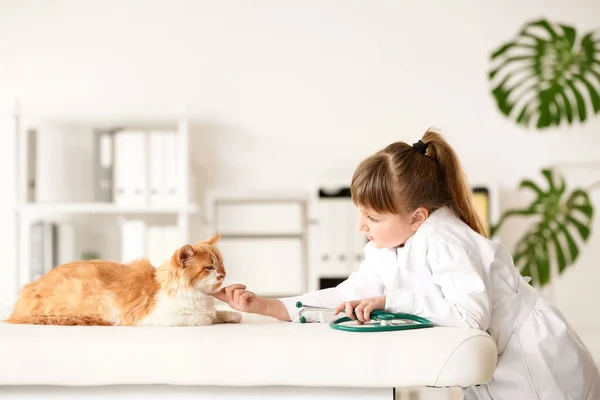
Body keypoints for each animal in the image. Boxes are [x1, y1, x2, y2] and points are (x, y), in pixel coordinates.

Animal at [5, 234, 241, 324]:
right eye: (209, 267)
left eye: (221, 264)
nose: (223, 275)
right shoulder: (151, 317)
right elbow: (203, 317)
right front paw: (211, 317)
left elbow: (218, 313)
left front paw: (230, 315)